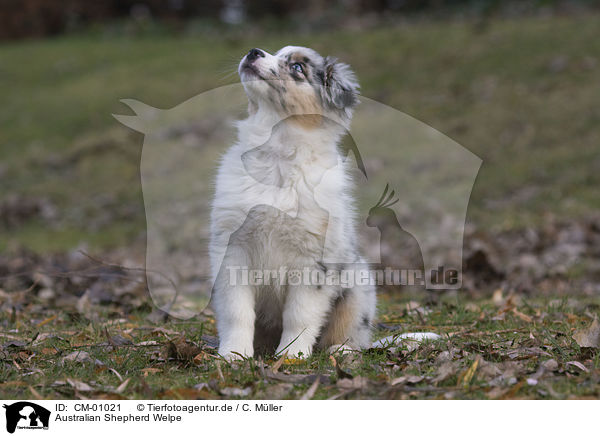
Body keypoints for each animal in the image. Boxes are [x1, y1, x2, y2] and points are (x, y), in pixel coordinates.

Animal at [209, 46, 372, 362]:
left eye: (297, 67)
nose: (253, 52)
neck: (277, 155)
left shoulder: (313, 259)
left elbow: (300, 314)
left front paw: (291, 354)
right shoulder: (233, 249)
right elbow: (237, 311)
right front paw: (234, 353)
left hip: (359, 285)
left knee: (351, 330)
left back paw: (342, 349)